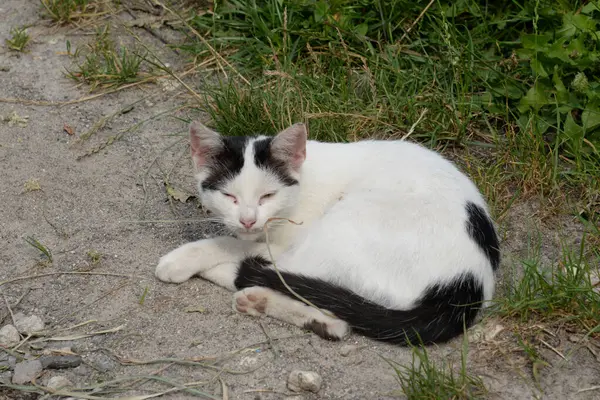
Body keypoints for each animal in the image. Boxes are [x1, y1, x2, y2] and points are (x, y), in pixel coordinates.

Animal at [155, 121, 496, 344]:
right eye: (230, 196)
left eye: (267, 196)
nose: (249, 220)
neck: (301, 177)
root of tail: (467, 283)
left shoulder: (282, 240)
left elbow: (231, 244)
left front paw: (184, 258)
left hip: (345, 222)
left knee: (274, 275)